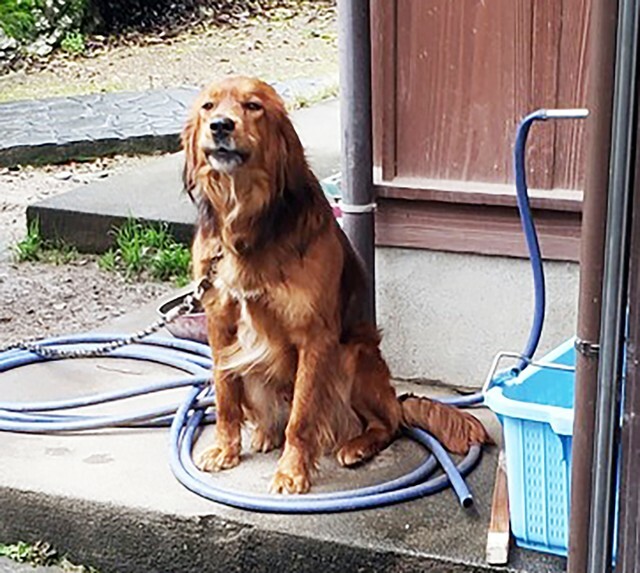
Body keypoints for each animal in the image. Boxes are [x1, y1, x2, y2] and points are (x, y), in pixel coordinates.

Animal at [181, 76, 490, 494]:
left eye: (253, 106)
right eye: (208, 106)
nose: (220, 127)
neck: (247, 221)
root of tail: (396, 396)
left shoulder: (316, 336)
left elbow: (301, 417)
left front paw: (291, 472)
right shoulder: (220, 324)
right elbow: (226, 394)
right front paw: (225, 450)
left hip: (352, 357)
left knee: (386, 422)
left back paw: (356, 446)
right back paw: (265, 433)